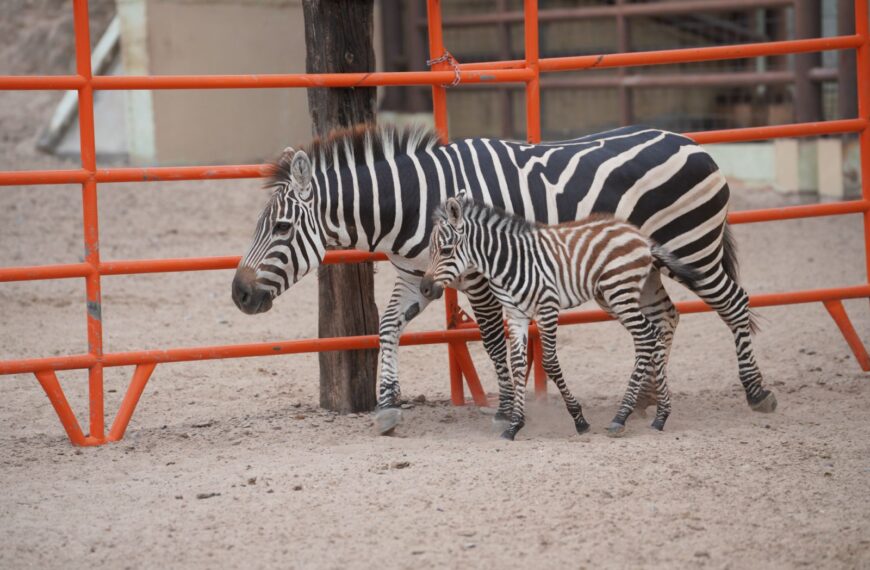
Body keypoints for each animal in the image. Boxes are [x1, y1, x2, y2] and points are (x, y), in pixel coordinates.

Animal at [419, 198, 703, 440]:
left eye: (446, 250)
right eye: (430, 250)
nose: (424, 289)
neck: (509, 262)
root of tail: (640, 236)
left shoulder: (547, 308)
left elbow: (550, 363)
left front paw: (579, 420)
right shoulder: (516, 315)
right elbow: (518, 364)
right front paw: (514, 425)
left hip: (619, 291)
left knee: (646, 336)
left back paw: (622, 417)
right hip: (625, 294)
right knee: (653, 334)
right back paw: (660, 416)